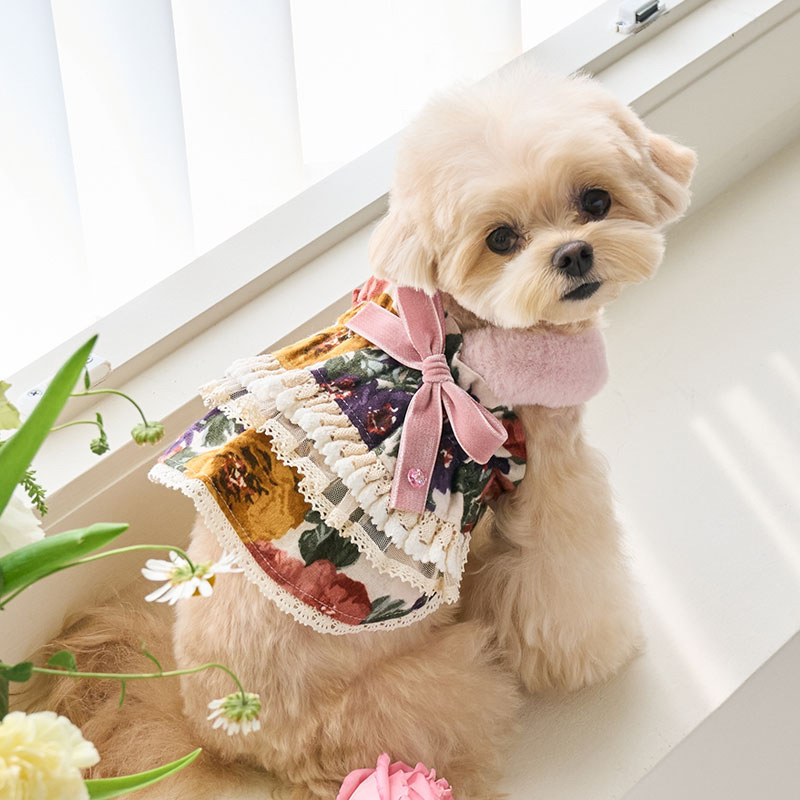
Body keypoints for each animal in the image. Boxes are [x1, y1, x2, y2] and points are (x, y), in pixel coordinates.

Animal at [26, 65, 695, 799]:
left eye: (595, 199)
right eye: (500, 239)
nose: (574, 254)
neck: (458, 331)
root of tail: (211, 736)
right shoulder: (549, 480)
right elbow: (568, 587)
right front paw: (599, 653)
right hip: (434, 689)